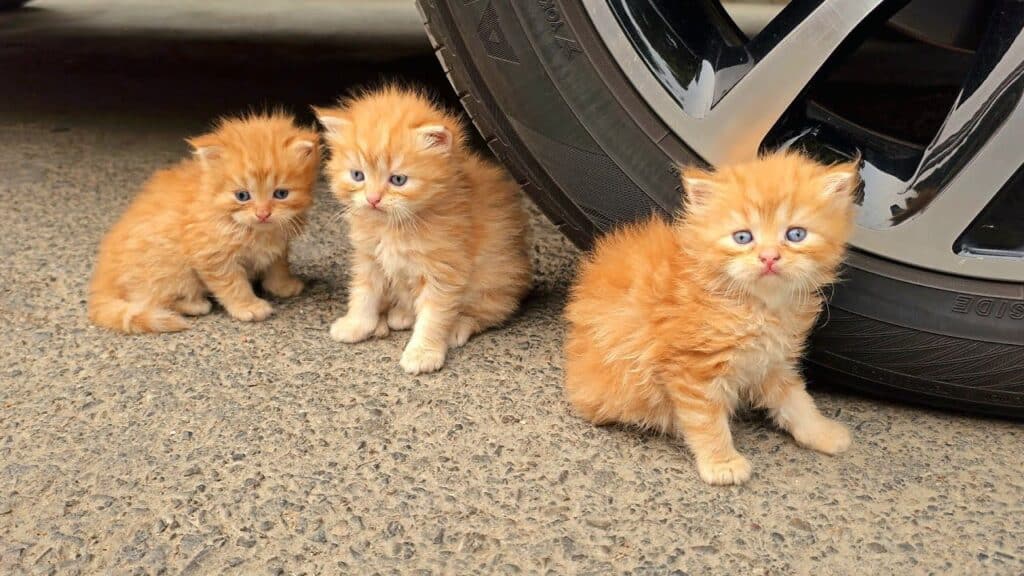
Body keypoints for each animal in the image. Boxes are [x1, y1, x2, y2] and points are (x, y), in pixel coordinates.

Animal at [90, 112, 317, 332]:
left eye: (281, 194)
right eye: (242, 196)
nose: (263, 214)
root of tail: (103, 278)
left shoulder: (280, 243)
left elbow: (278, 265)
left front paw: (283, 285)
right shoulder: (211, 255)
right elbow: (233, 284)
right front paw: (248, 306)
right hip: (169, 266)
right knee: (150, 300)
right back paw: (194, 304)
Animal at [315, 85, 532, 373]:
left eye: (398, 180)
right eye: (357, 176)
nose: (373, 199)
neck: (393, 228)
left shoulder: (444, 269)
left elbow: (434, 316)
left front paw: (423, 352)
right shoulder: (369, 257)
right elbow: (363, 293)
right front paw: (356, 325)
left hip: (495, 275)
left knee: (493, 310)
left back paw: (457, 326)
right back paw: (401, 314)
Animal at [565, 150, 860, 481]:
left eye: (795, 234)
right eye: (743, 237)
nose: (769, 257)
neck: (757, 308)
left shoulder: (773, 363)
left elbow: (797, 402)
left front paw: (822, 433)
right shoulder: (693, 370)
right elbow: (706, 422)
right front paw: (722, 463)